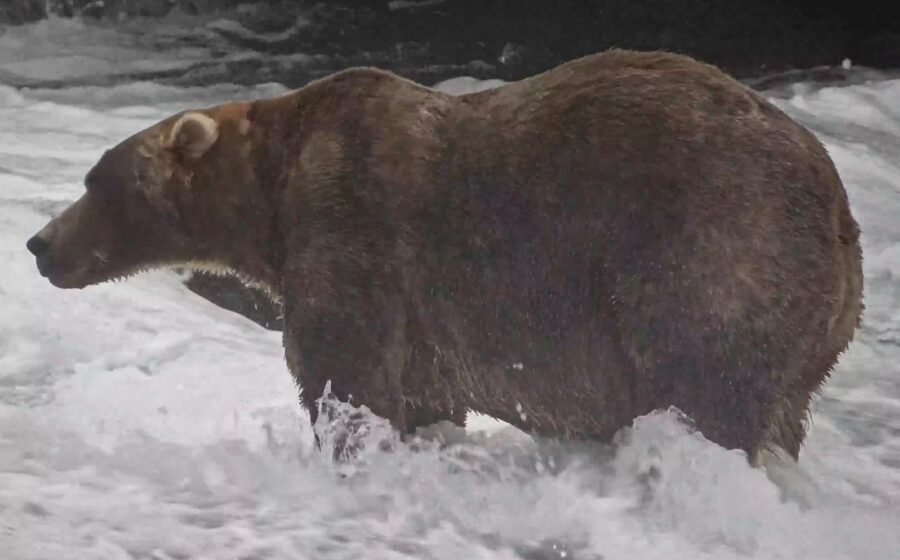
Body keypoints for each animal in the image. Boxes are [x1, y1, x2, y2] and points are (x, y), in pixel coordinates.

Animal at [26, 49, 863, 464]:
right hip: (816, 329)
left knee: (706, 382)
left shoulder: (353, 226)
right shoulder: (425, 321)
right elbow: (423, 393)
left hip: (709, 250)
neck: (270, 194)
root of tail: (838, 207)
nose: (39, 243)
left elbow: (344, 370)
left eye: (96, 181)